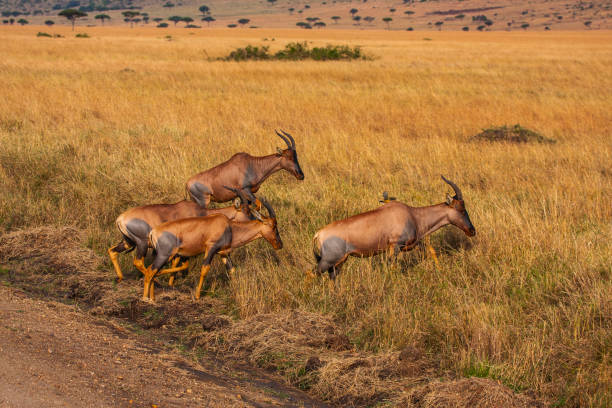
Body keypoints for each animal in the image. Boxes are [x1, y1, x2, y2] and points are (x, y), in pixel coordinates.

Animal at [109, 190, 252, 282]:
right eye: (247, 211)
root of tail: (120, 218)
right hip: (142, 243)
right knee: (138, 262)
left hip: (128, 242)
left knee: (112, 251)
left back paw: (121, 278)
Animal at [142, 196, 282, 302]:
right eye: (274, 226)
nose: (280, 245)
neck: (228, 226)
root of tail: (153, 232)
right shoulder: (210, 249)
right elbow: (204, 269)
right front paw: (197, 296)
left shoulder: (223, 253)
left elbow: (232, 270)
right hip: (164, 255)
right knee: (150, 271)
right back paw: (145, 298)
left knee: (154, 271)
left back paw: (152, 297)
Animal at [314, 177, 476, 278]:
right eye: (461, 209)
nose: (472, 230)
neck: (412, 214)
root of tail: (319, 234)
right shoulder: (395, 246)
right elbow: (392, 268)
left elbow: (432, 252)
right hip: (328, 260)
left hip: (339, 261)